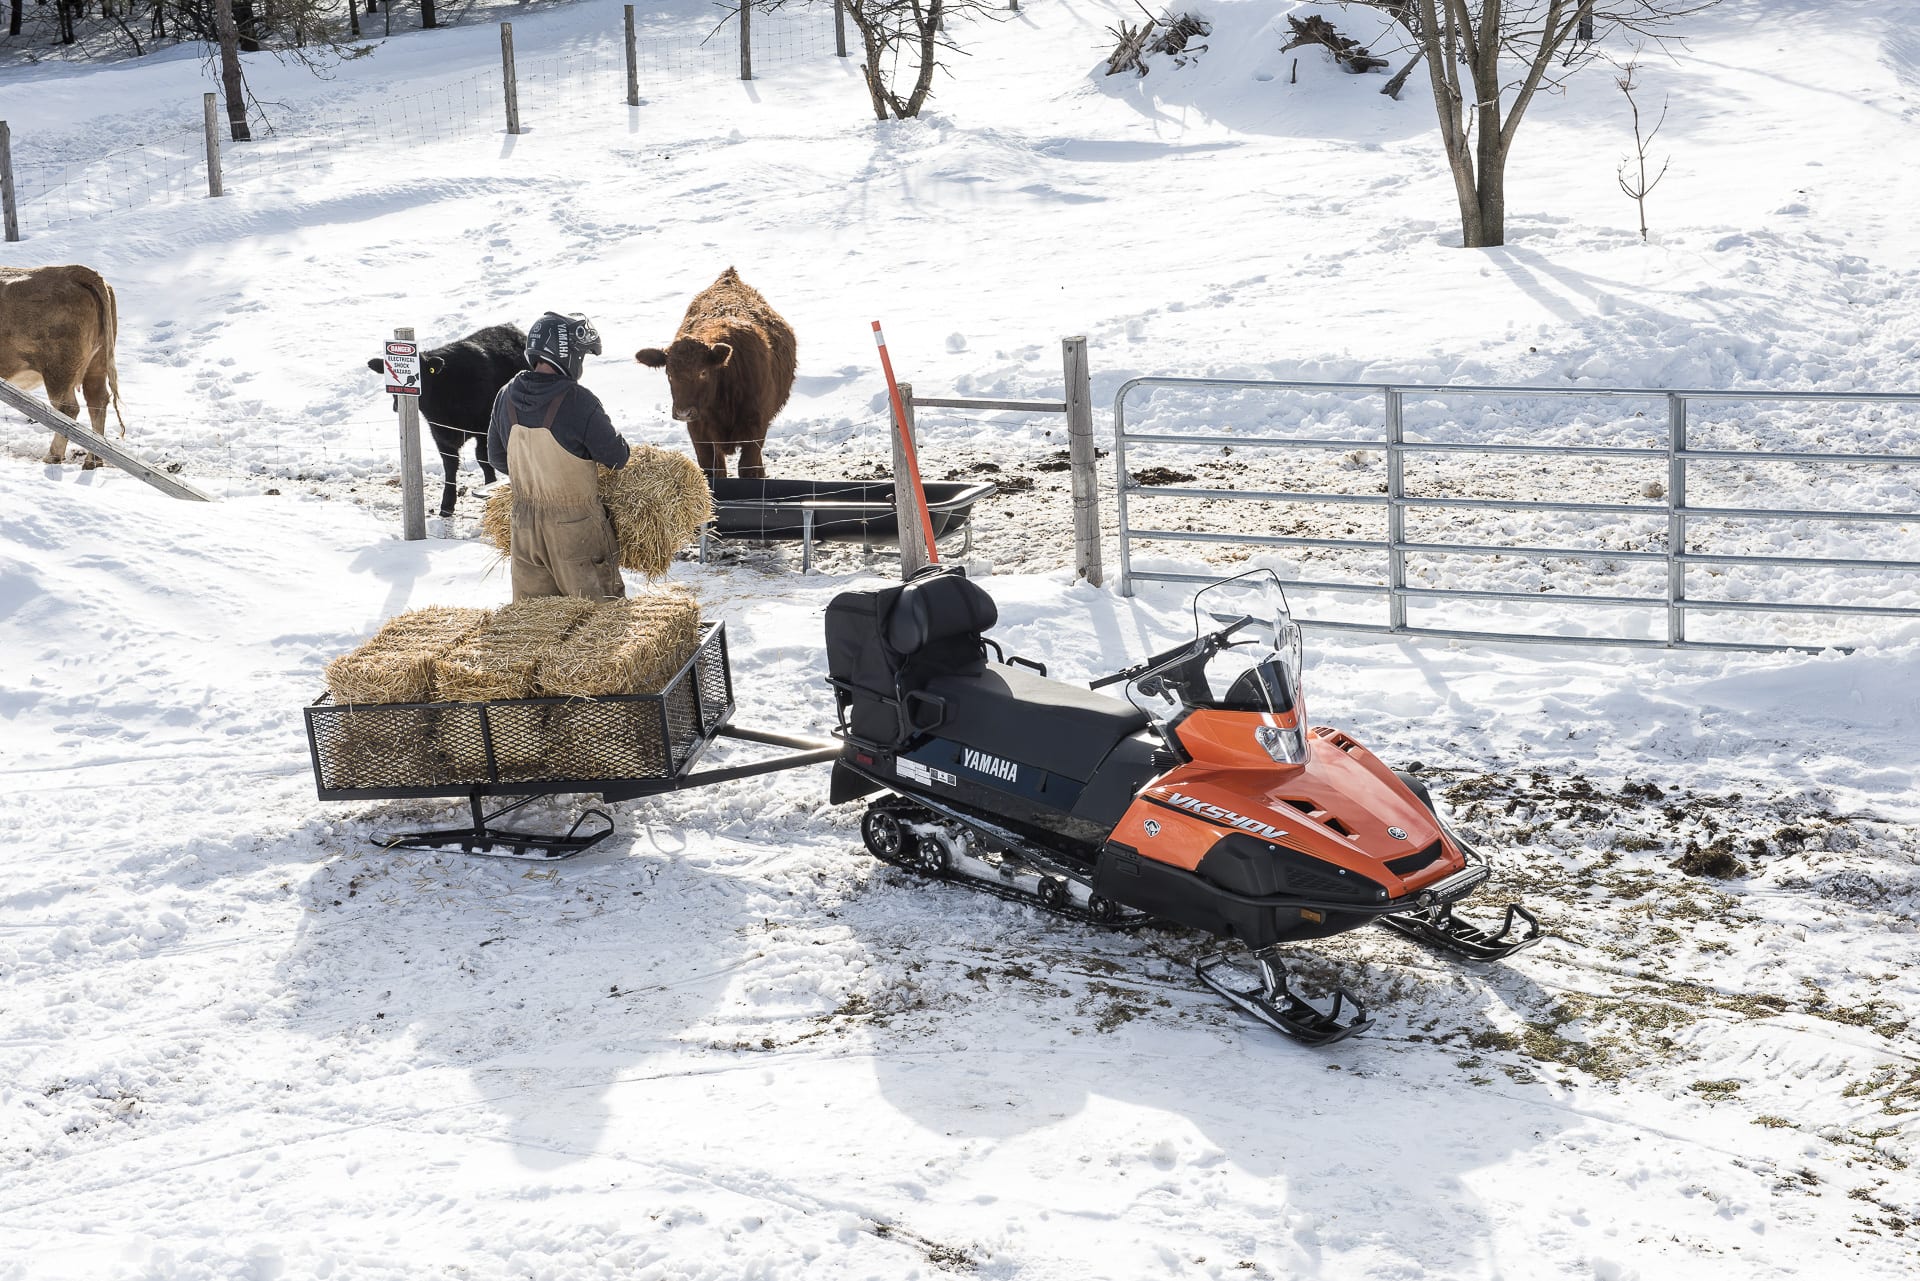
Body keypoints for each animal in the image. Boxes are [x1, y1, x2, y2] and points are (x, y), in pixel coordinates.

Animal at [0, 263, 123, 468]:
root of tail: (73, 271)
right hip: (97, 365)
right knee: (97, 402)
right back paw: (93, 460)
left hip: (58, 370)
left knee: (67, 409)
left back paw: (53, 455)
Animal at [366, 322, 529, 518]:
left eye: (422, 375)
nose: (397, 405)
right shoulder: (439, 433)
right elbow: (449, 466)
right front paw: (447, 504)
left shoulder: (485, 429)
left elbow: (483, 458)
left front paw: (489, 487)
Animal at [633, 268, 791, 483]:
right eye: (669, 373)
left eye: (703, 372)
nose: (683, 413)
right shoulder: (699, 431)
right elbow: (712, 470)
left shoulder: (756, 426)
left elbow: (748, 468)